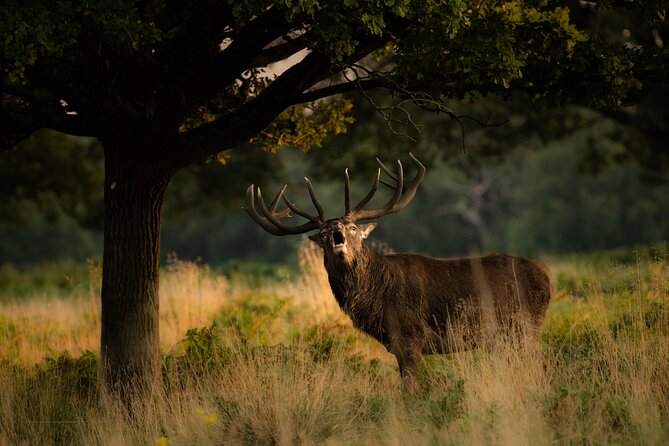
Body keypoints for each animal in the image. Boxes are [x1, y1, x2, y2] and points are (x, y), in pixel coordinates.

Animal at [244, 154, 553, 394]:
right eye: (321, 233)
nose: (335, 231)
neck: (377, 299)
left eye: (353, 227)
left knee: (541, 366)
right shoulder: (398, 344)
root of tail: (548, 277)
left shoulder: (410, 335)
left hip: (524, 326)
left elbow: (409, 392)